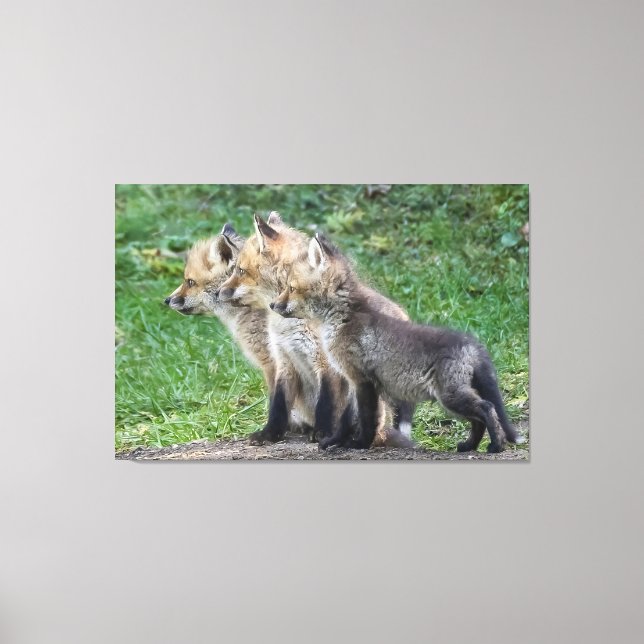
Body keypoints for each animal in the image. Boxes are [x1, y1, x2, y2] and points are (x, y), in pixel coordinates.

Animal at [216, 212, 415, 448]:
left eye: (240, 270)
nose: (218, 292)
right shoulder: (284, 360)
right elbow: (278, 406)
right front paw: (269, 434)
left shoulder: (326, 362)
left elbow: (325, 404)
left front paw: (322, 434)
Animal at [270, 232, 524, 453]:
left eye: (291, 288)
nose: (273, 305)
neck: (343, 317)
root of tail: (472, 343)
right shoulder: (352, 381)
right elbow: (345, 420)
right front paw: (335, 441)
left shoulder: (363, 381)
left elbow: (367, 420)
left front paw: (360, 444)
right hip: (454, 399)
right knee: (478, 419)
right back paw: (469, 446)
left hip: (451, 397)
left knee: (487, 408)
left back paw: (496, 446)